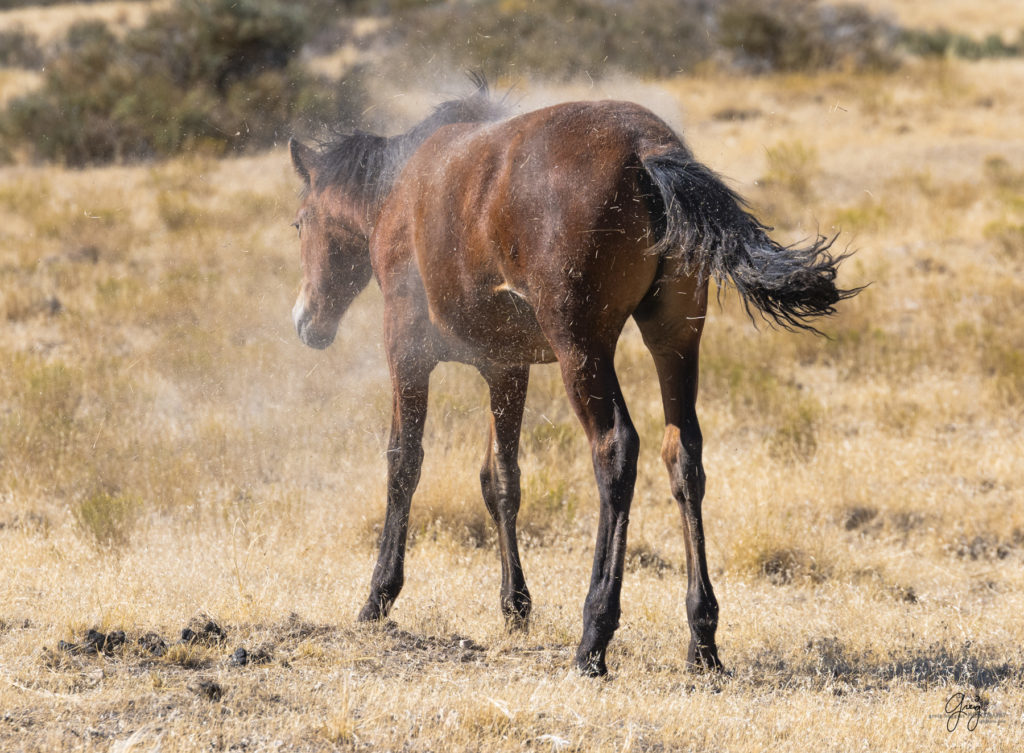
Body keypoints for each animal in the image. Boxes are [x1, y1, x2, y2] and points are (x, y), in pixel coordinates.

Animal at [288, 80, 856, 676]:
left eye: (300, 222)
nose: (307, 322)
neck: (403, 190)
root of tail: (646, 149)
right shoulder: (506, 369)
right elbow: (501, 479)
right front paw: (515, 605)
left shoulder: (407, 351)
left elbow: (404, 464)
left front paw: (378, 595)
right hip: (675, 342)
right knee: (683, 456)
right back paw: (702, 639)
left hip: (582, 350)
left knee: (616, 450)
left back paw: (594, 636)